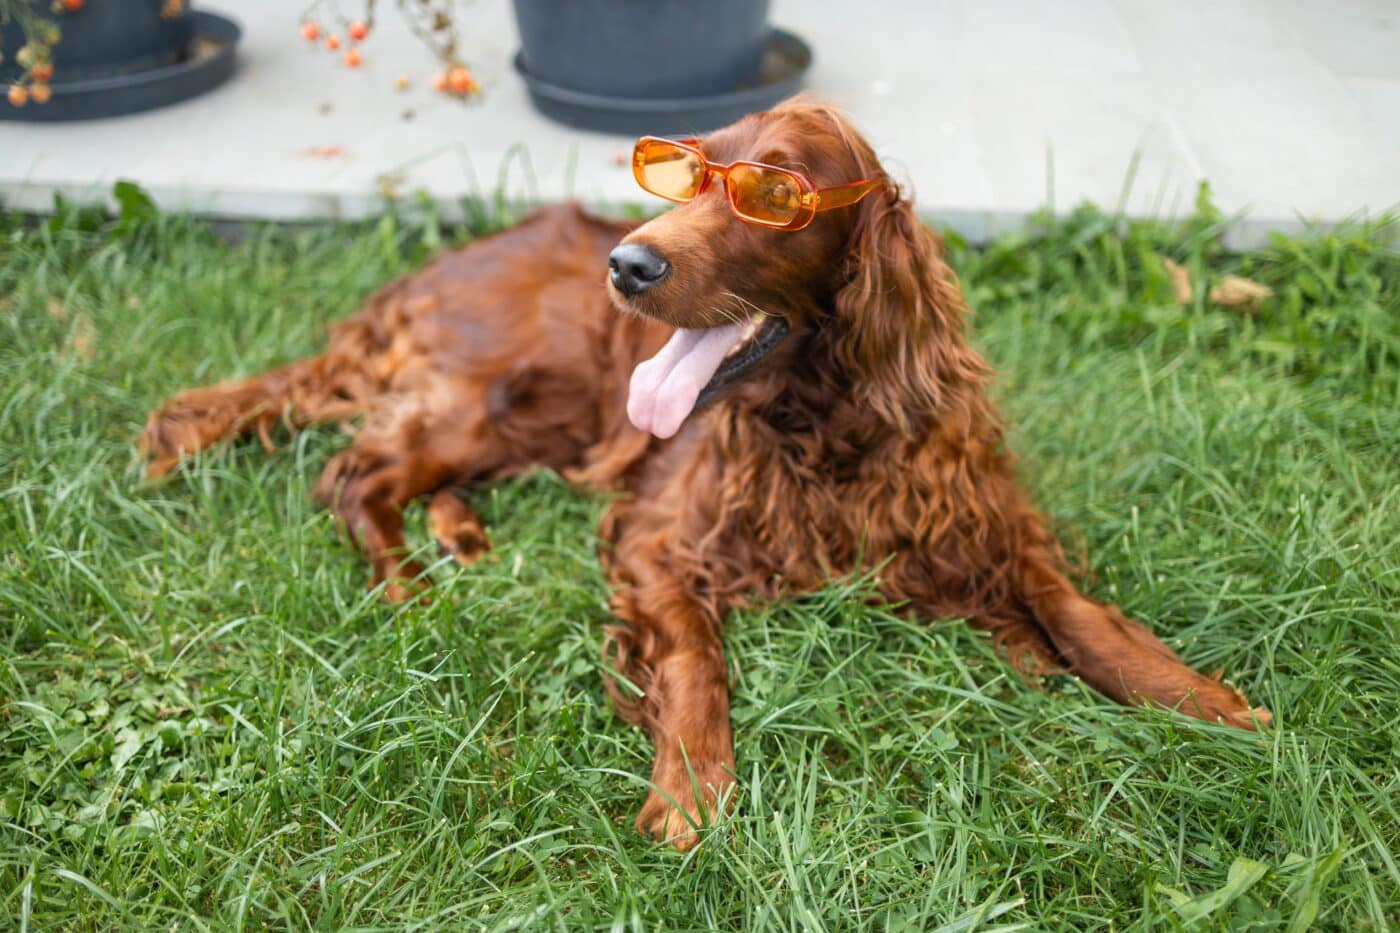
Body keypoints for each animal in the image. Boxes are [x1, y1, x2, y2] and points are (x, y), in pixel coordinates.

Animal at [142, 98, 1271, 846]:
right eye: (679, 174)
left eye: (774, 194)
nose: (630, 264)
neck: (823, 426)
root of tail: (425, 270)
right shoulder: (661, 540)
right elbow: (693, 658)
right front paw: (691, 789)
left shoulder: (974, 516)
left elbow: (1070, 607)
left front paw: (1197, 699)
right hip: (497, 392)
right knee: (354, 475)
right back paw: (408, 589)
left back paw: (458, 538)